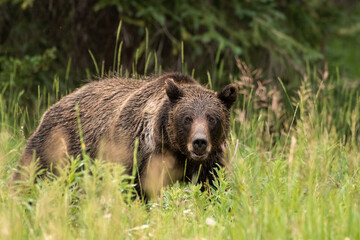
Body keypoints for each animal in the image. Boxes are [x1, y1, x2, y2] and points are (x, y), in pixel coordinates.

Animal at [11, 72, 236, 198]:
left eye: (212, 118)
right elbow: (134, 190)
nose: (199, 143)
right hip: (57, 145)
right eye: (187, 118)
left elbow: (214, 186)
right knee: (30, 173)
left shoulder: (210, 162)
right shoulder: (135, 155)